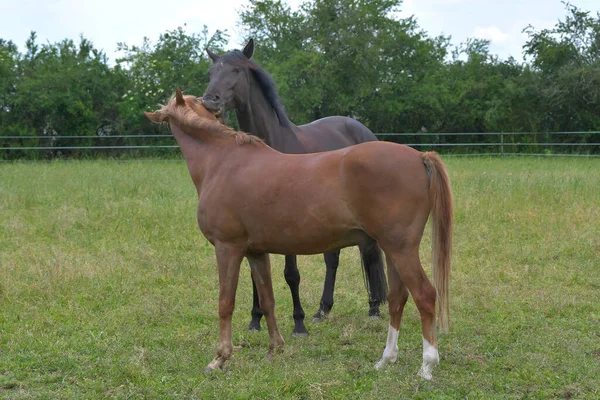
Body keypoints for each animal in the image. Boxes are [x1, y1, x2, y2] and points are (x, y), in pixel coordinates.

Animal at [146, 89, 454, 380]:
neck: (221, 162)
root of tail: (419, 156)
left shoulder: (227, 248)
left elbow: (225, 303)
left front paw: (220, 358)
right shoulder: (256, 252)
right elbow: (267, 300)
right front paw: (275, 349)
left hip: (401, 249)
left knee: (425, 295)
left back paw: (427, 366)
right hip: (391, 249)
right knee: (397, 298)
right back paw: (386, 359)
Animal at [203, 40, 390, 336]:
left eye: (236, 70)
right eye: (211, 72)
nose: (210, 101)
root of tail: (360, 128)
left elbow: (291, 274)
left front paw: (298, 323)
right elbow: (257, 274)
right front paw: (255, 320)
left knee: (369, 253)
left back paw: (373, 308)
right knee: (333, 259)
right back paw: (323, 310)